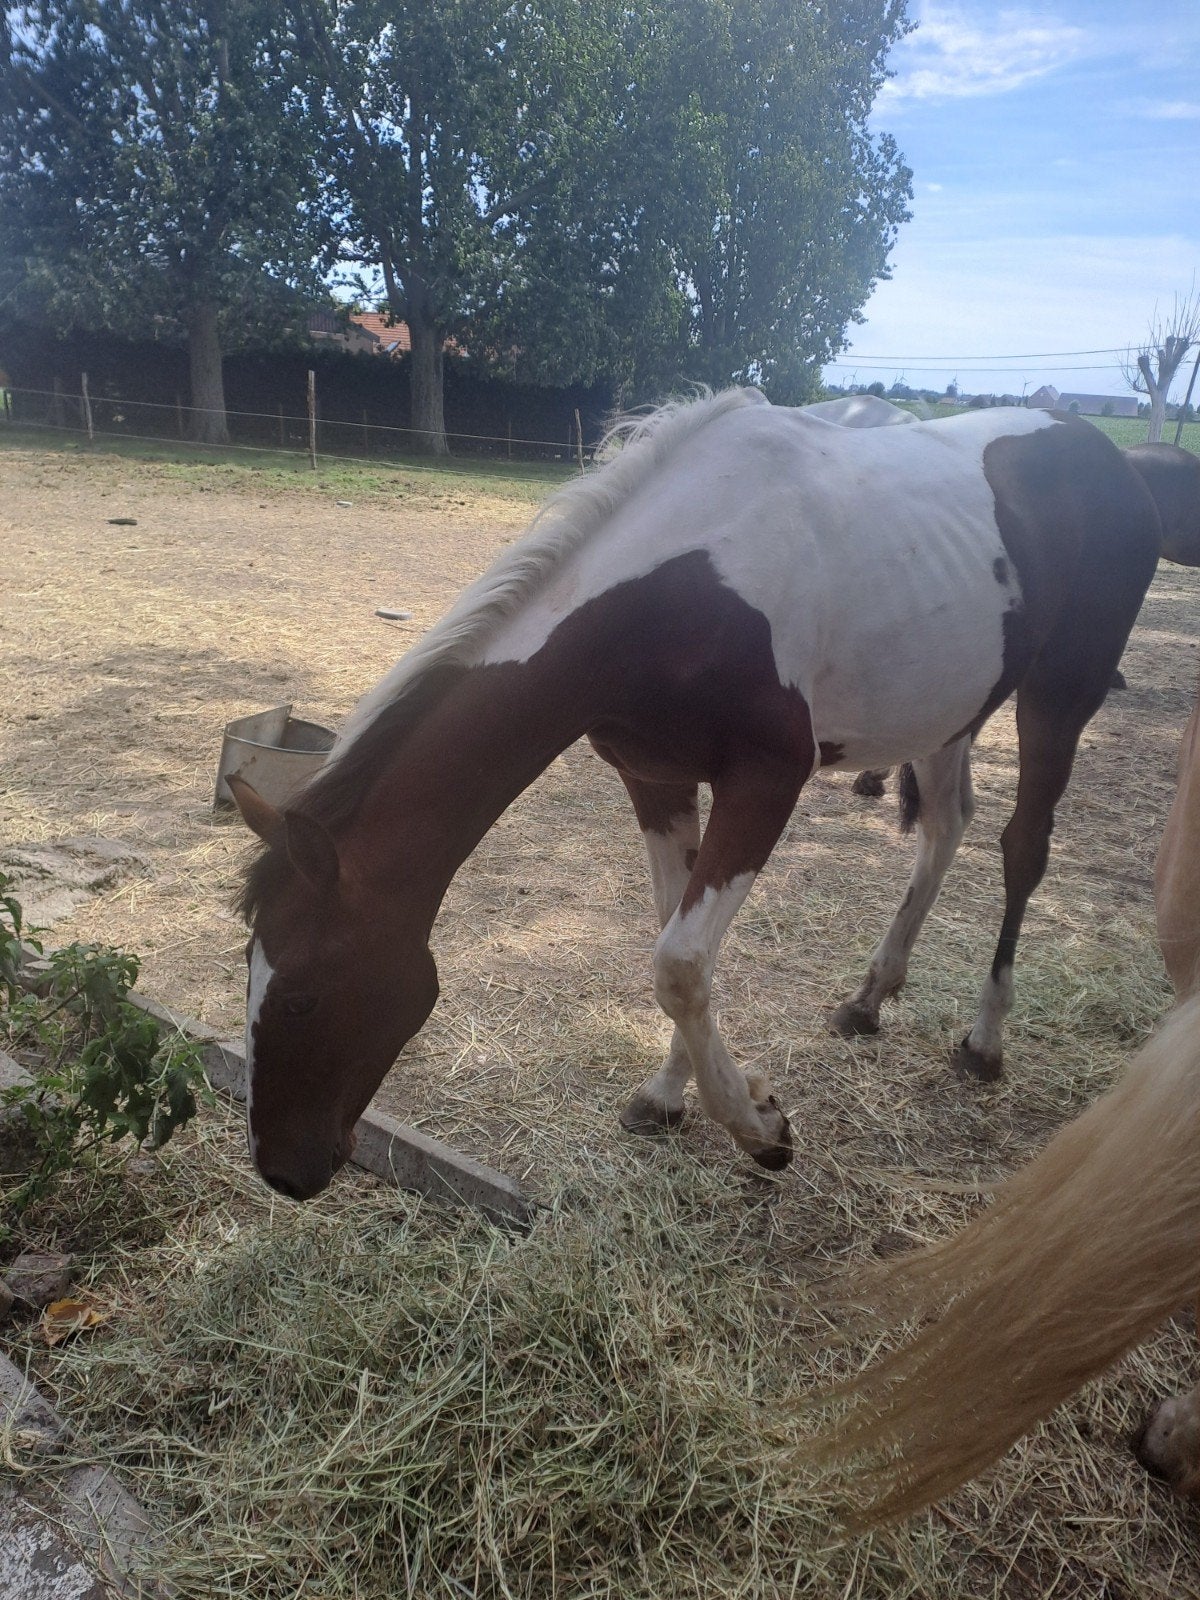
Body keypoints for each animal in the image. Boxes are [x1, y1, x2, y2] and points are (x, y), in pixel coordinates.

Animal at [229, 387, 1200, 1201]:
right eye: (250, 968)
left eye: (306, 994)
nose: (283, 1171)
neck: (680, 589)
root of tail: (1104, 453)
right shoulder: (655, 780)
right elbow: (673, 942)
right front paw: (667, 1097)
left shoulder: (764, 783)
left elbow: (680, 963)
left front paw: (761, 1130)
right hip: (951, 705)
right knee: (945, 829)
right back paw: (869, 998)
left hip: (1059, 695)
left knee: (1022, 848)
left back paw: (986, 1041)